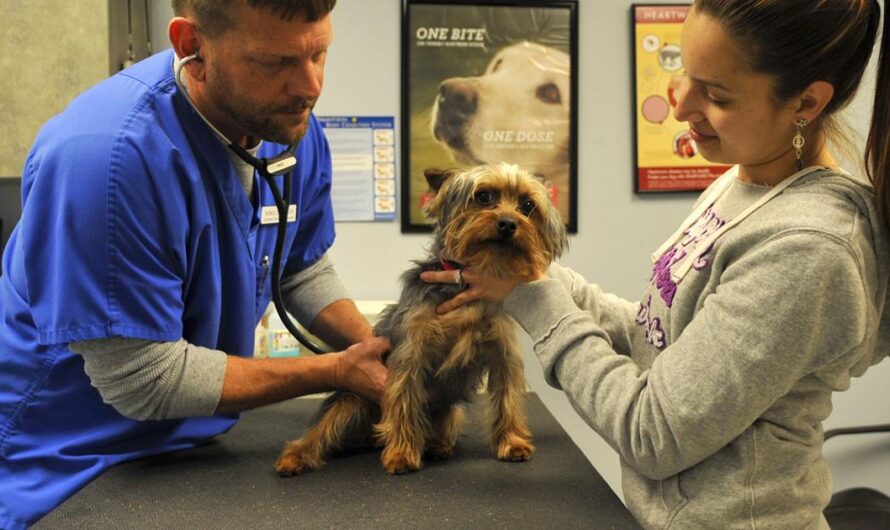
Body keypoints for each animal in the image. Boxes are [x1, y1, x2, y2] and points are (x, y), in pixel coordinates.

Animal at [276, 162, 568, 474]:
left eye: (527, 206)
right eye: (484, 196)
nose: (508, 223)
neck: (464, 286)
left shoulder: (502, 353)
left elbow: (507, 397)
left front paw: (512, 442)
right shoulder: (411, 351)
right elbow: (404, 398)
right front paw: (402, 453)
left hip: (449, 412)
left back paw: (437, 446)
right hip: (350, 401)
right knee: (322, 430)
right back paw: (296, 456)